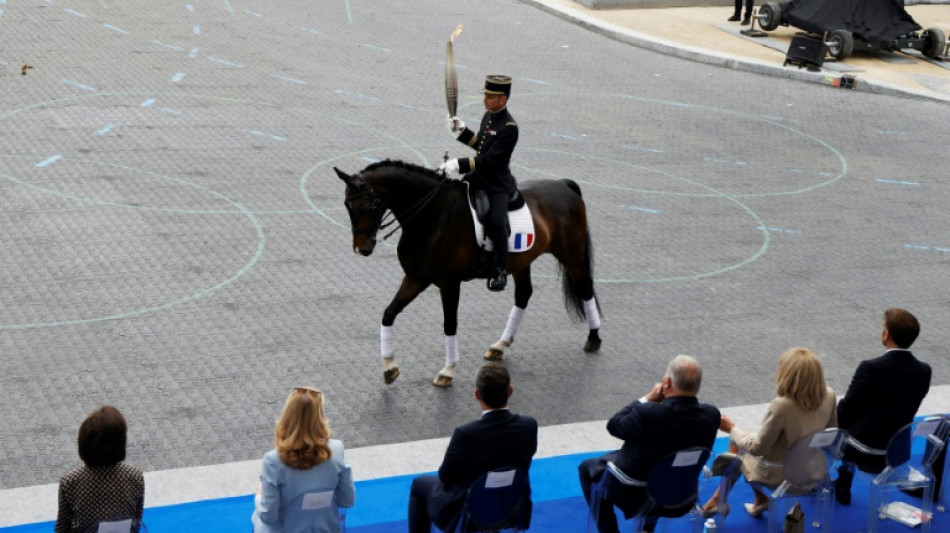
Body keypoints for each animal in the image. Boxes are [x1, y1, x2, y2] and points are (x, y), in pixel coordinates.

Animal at [334, 159, 604, 386]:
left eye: (369, 205)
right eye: (348, 205)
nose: (362, 248)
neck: (432, 216)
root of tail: (563, 184)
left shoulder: (449, 283)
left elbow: (449, 323)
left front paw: (447, 371)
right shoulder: (416, 278)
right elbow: (389, 314)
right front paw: (389, 367)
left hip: (571, 254)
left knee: (585, 287)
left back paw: (593, 338)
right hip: (522, 261)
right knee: (523, 295)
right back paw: (500, 345)